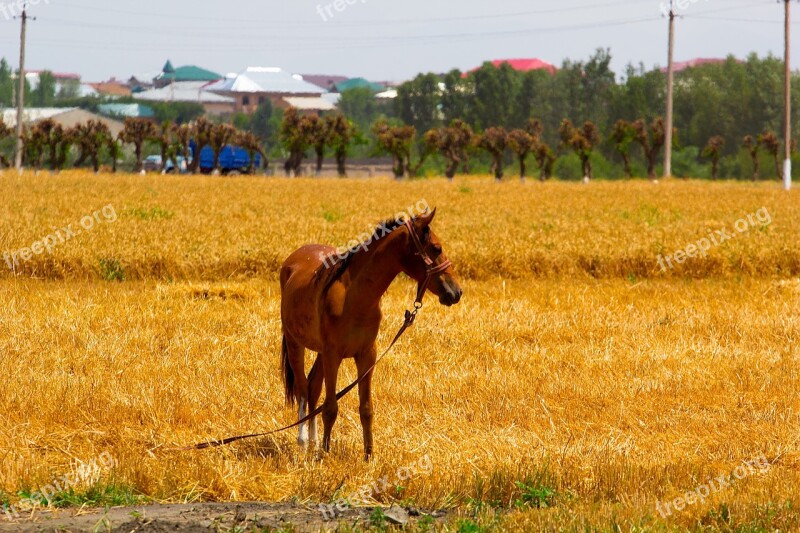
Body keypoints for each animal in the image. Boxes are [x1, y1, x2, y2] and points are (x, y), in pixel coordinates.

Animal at [280, 208, 460, 458]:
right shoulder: (333, 355)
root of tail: (291, 262)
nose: (456, 292)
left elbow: (366, 408)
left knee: (313, 387)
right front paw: (326, 454)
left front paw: (368, 455)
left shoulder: (366, 355)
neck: (353, 297)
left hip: (320, 352)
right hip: (295, 344)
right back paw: (304, 442)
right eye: (436, 247)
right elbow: (330, 407)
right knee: (303, 389)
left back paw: (314, 443)